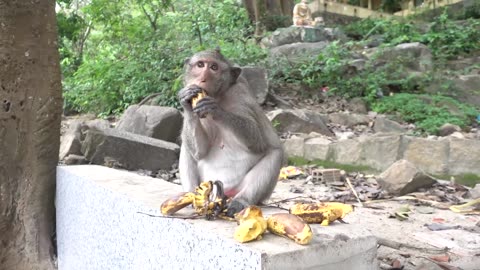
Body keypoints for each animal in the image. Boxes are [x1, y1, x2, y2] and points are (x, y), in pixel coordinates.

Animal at [177, 49, 284, 217]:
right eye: (200, 65)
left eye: (214, 67)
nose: (203, 78)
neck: (219, 95)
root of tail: (223, 191)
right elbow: (200, 151)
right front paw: (185, 100)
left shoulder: (241, 95)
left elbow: (257, 142)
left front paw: (216, 110)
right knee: (187, 148)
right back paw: (191, 198)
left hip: (241, 189)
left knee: (275, 153)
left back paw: (241, 201)